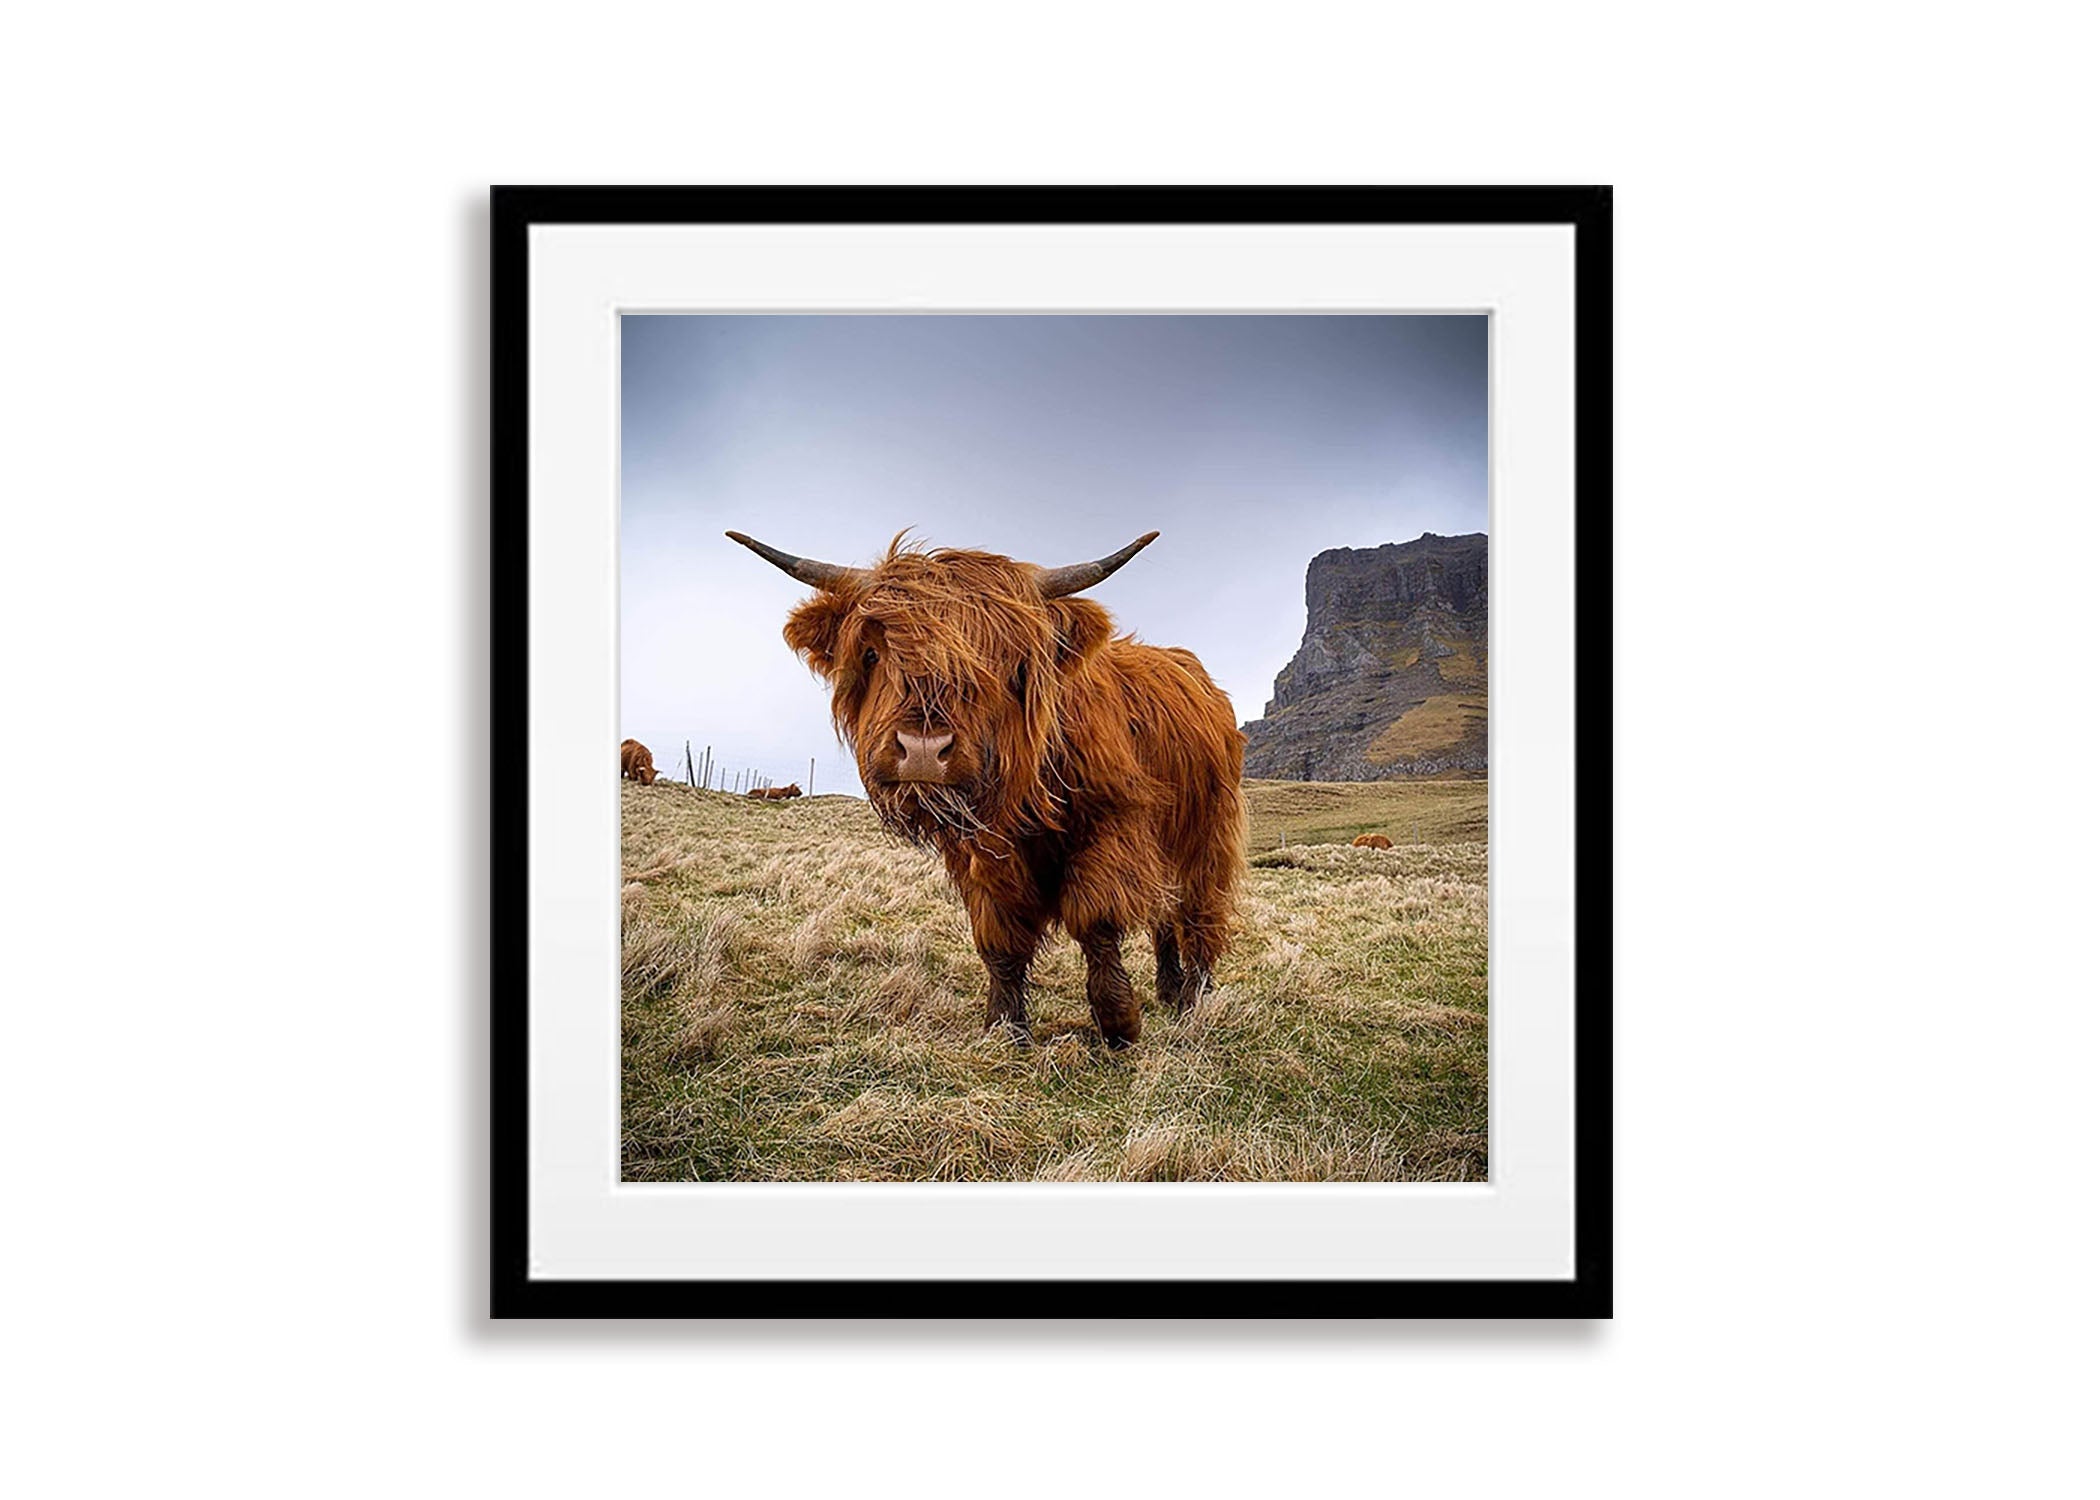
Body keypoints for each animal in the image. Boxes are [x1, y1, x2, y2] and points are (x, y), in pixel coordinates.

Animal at [730, 531, 1234, 1046]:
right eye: (872, 654)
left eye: (1004, 661)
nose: (924, 749)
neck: (1023, 800)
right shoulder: (981, 857)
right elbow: (999, 939)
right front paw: (1006, 1026)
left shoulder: (1113, 828)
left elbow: (1095, 920)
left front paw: (1118, 1022)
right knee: (1164, 915)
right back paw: (1170, 989)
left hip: (1206, 835)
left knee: (1195, 911)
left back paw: (1195, 996)